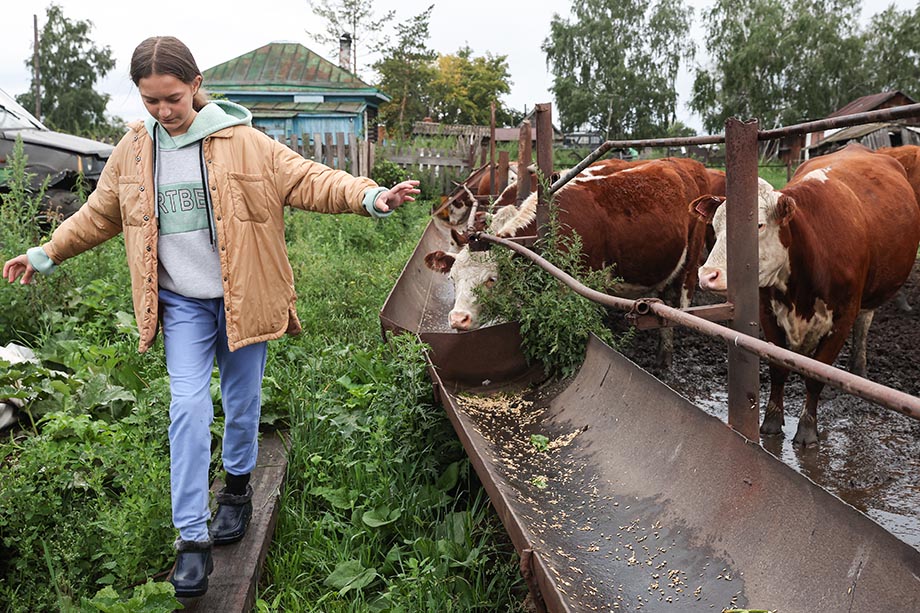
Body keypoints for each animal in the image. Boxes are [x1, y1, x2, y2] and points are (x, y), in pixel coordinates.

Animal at [424, 158, 712, 368]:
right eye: (452, 278)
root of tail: (679, 163)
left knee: (678, 305)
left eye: (491, 280)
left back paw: (664, 358)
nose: (457, 319)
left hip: (690, 264)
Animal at [696, 143, 920, 444]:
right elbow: (778, 368)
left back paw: (858, 370)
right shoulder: (767, 310)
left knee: (864, 324)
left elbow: (816, 375)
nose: (708, 275)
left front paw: (807, 430)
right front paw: (771, 422)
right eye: (715, 227)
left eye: (758, 225)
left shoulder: (843, 317)